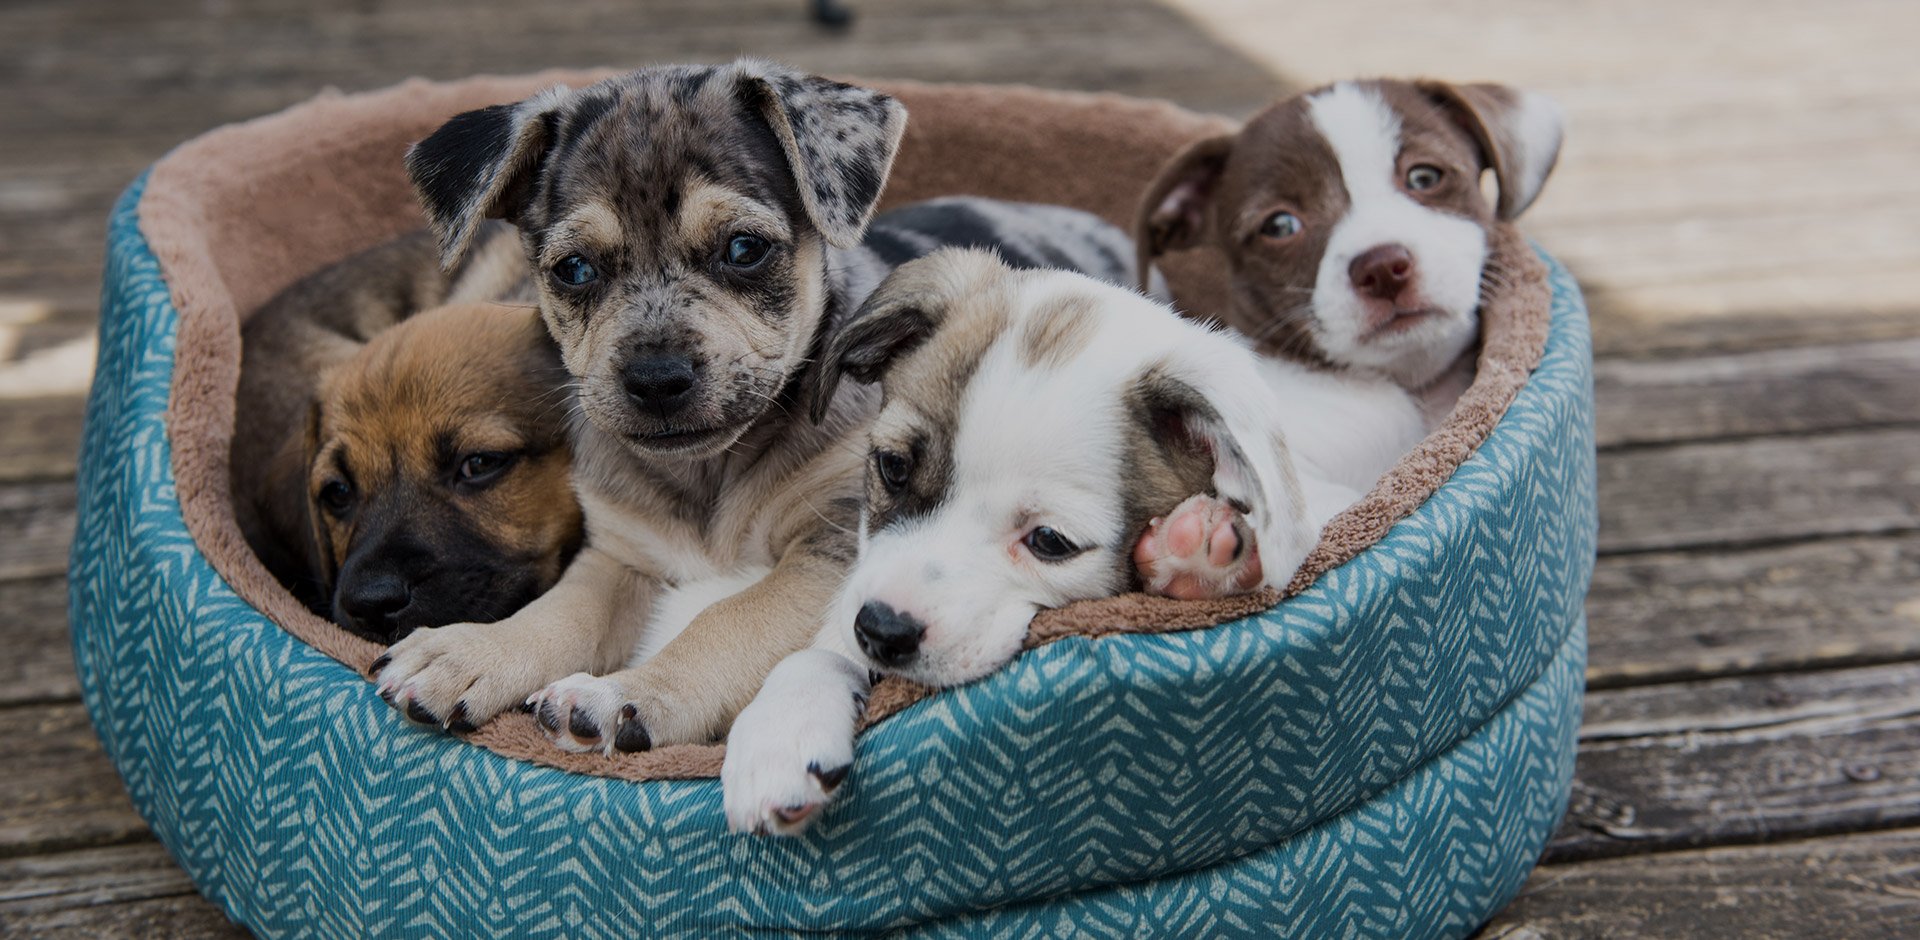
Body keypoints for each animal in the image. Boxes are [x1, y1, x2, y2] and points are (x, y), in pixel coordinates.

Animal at [370, 60, 1136, 755]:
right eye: (573, 270)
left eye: (744, 249)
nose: (655, 378)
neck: (709, 477)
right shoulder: (619, 555)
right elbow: (562, 612)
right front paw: (470, 653)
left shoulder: (828, 553)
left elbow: (728, 620)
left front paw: (630, 694)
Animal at [721, 247, 1351, 828]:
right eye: (893, 467)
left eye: (1050, 541)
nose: (881, 631)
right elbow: (820, 652)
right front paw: (781, 726)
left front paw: (1196, 557)